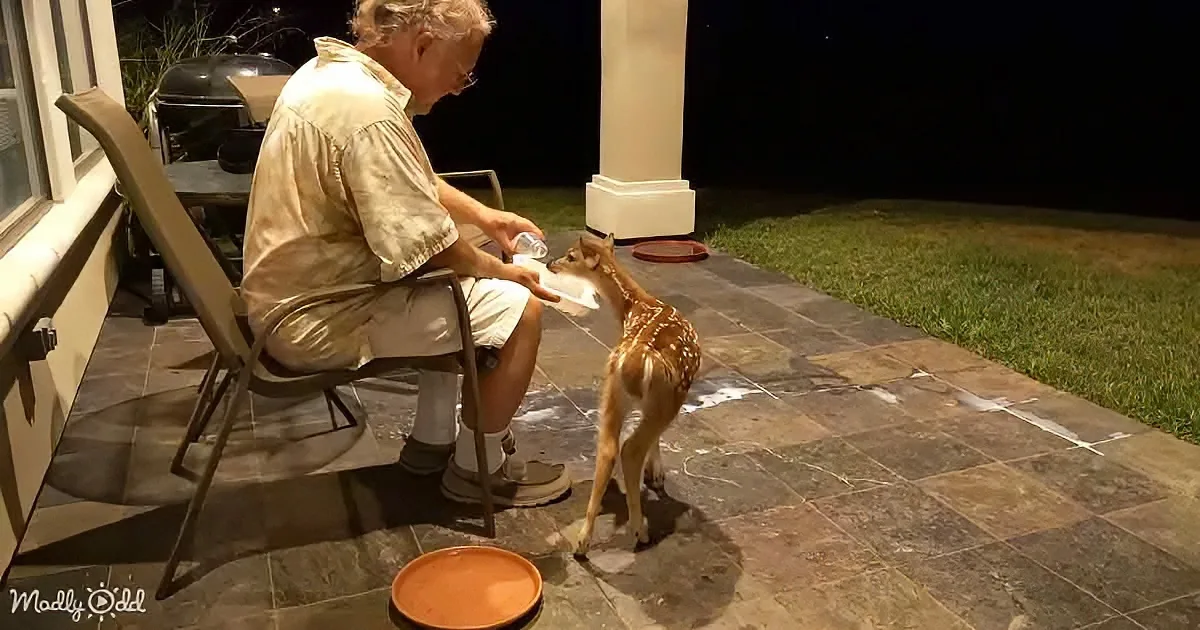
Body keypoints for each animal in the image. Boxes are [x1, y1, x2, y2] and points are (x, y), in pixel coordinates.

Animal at [547, 234, 702, 556]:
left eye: (571, 256)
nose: (550, 263)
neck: (638, 306)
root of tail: (632, 363)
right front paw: (656, 475)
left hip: (612, 392)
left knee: (607, 448)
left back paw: (582, 543)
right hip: (667, 399)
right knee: (630, 449)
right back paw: (639, 531)